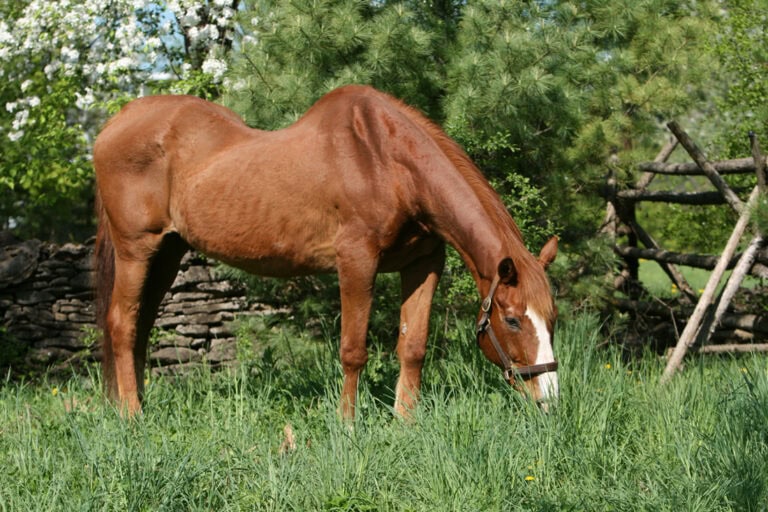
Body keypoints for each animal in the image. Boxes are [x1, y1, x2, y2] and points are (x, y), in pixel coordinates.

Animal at [93, 84, 559, 419]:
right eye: (513, 320)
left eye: (552, 318)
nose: (550, 399)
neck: (387, 161)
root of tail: (114, 126)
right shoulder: (356, 260)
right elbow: (353, 350)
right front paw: (347, 426)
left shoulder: (424, 264)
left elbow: (413, 346)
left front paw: (406, 422)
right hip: (137, 249)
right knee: (122, 324)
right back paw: (132, 416)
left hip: (168, 253)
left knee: (141, 325)